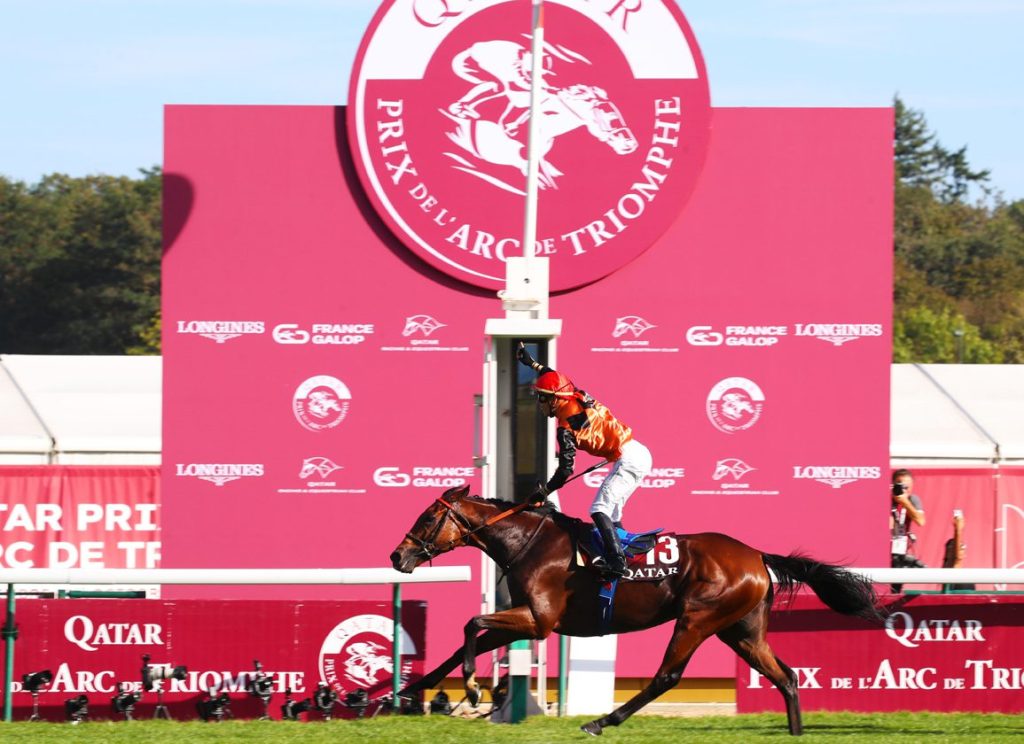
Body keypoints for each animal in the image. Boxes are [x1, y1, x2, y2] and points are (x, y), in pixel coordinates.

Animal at [390, 485, 887, 736]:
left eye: (426, 518)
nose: (398, 556)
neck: (528, 543)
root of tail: (757, 555)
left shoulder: (540, 620)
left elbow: (471, 622)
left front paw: (473, 690)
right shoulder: (526, 618)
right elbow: (466, 640)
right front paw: (413, 691)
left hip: (698, 619)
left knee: (666, 677)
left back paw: (602, 720)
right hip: (741, 630)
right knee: (785, 675)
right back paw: (796, 731)